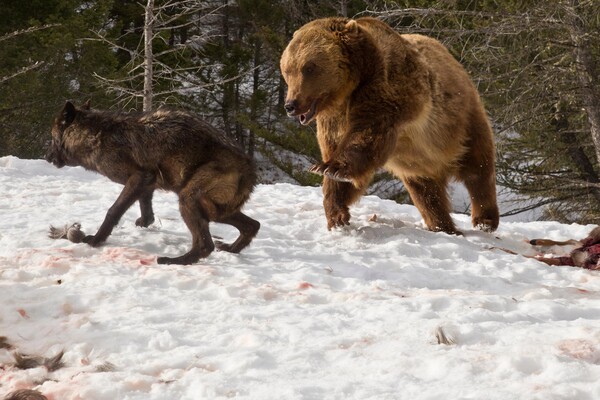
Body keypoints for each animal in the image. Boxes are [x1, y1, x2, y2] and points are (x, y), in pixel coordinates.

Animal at [47, 100, 260, 264]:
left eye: (52, 138)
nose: (47, 157)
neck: (97, 136)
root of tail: (251, 169)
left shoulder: (139, 177)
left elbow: (113, 211)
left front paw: (96, 240)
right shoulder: (148, 182)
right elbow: (146, 210)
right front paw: (143, 222)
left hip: (188, 199)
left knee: (205, 245)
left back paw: (175, 261)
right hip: (215, 211)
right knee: (253, 225)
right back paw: (230, 249)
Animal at [278, 16, 500, 234]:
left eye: (309, 68)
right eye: (287, 70)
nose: (291, 105)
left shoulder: (389, 89)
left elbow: (366, 134)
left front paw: (332, 168)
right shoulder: (333, 119)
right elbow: (338, 159)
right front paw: (337, 215)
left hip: (460, 122)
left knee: (477, 168)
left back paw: (485, 220)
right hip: (418, 162)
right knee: (426, 192)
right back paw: (442, 226)